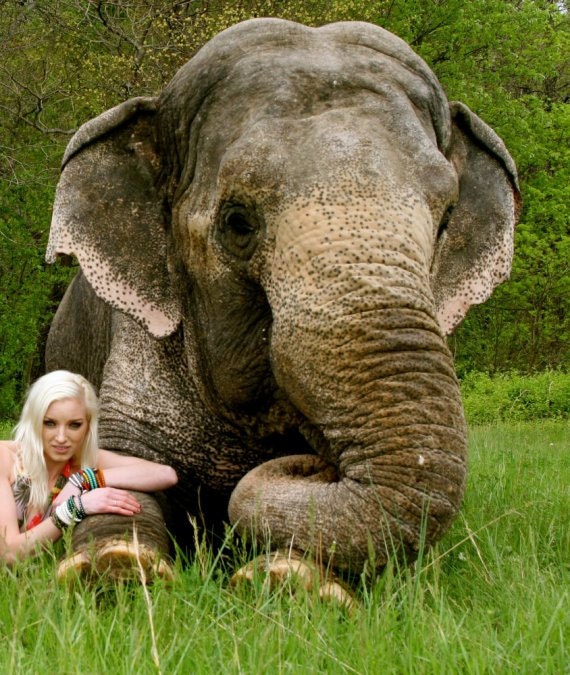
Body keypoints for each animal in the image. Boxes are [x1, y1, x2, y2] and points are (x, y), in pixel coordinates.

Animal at [45, 18, 520, 584]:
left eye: (446, 218)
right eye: (238, 222)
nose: (312, 464)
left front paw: (291, 582)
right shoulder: (138, 332)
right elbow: (118, 464)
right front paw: (113, 569)